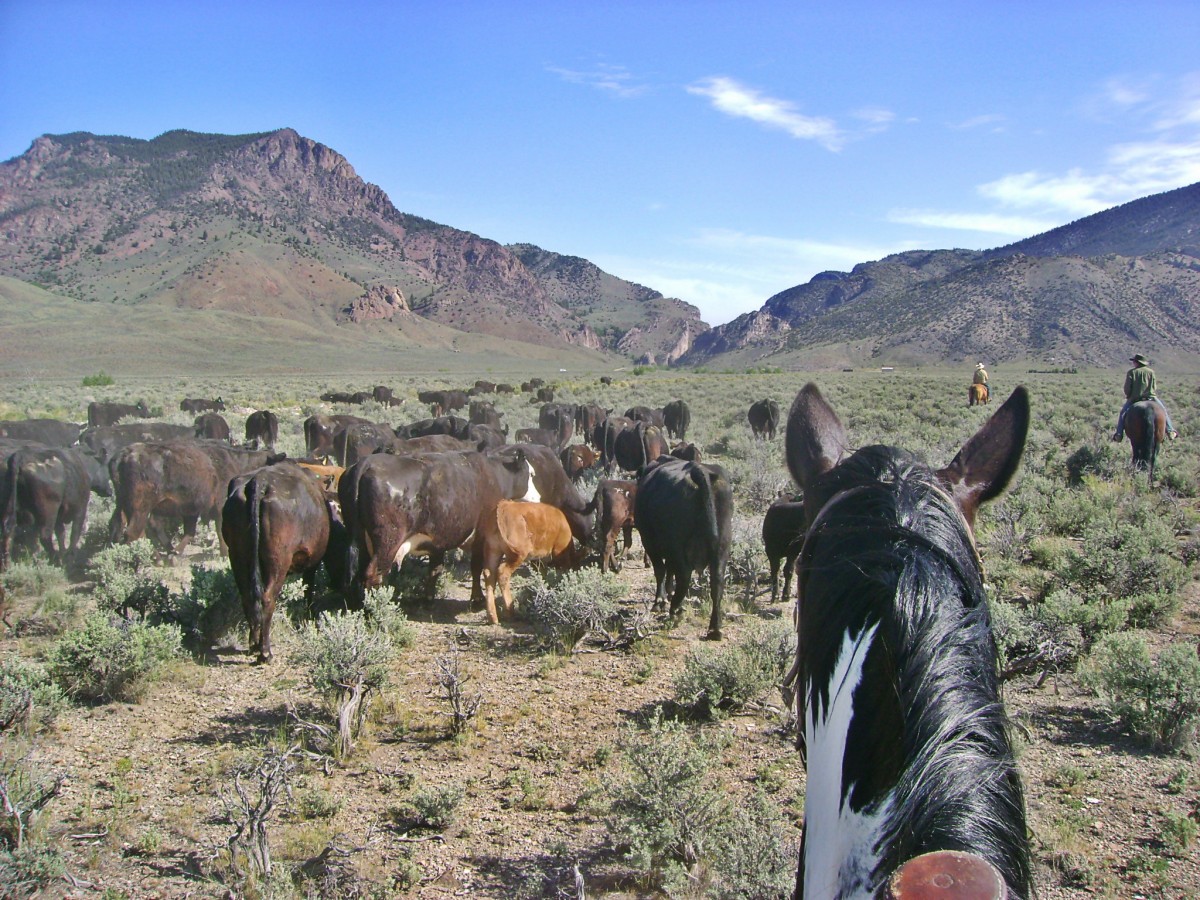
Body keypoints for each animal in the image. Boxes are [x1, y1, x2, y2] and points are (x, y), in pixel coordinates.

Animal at [638, 458, 729, 643]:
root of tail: (699, 470)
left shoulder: (649, 542)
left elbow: (661, 570)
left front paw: (660, 600)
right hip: (721, 548)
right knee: (717, 582)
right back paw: (715, 628)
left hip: (676, 546)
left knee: (683, 574)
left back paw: (675, 610)